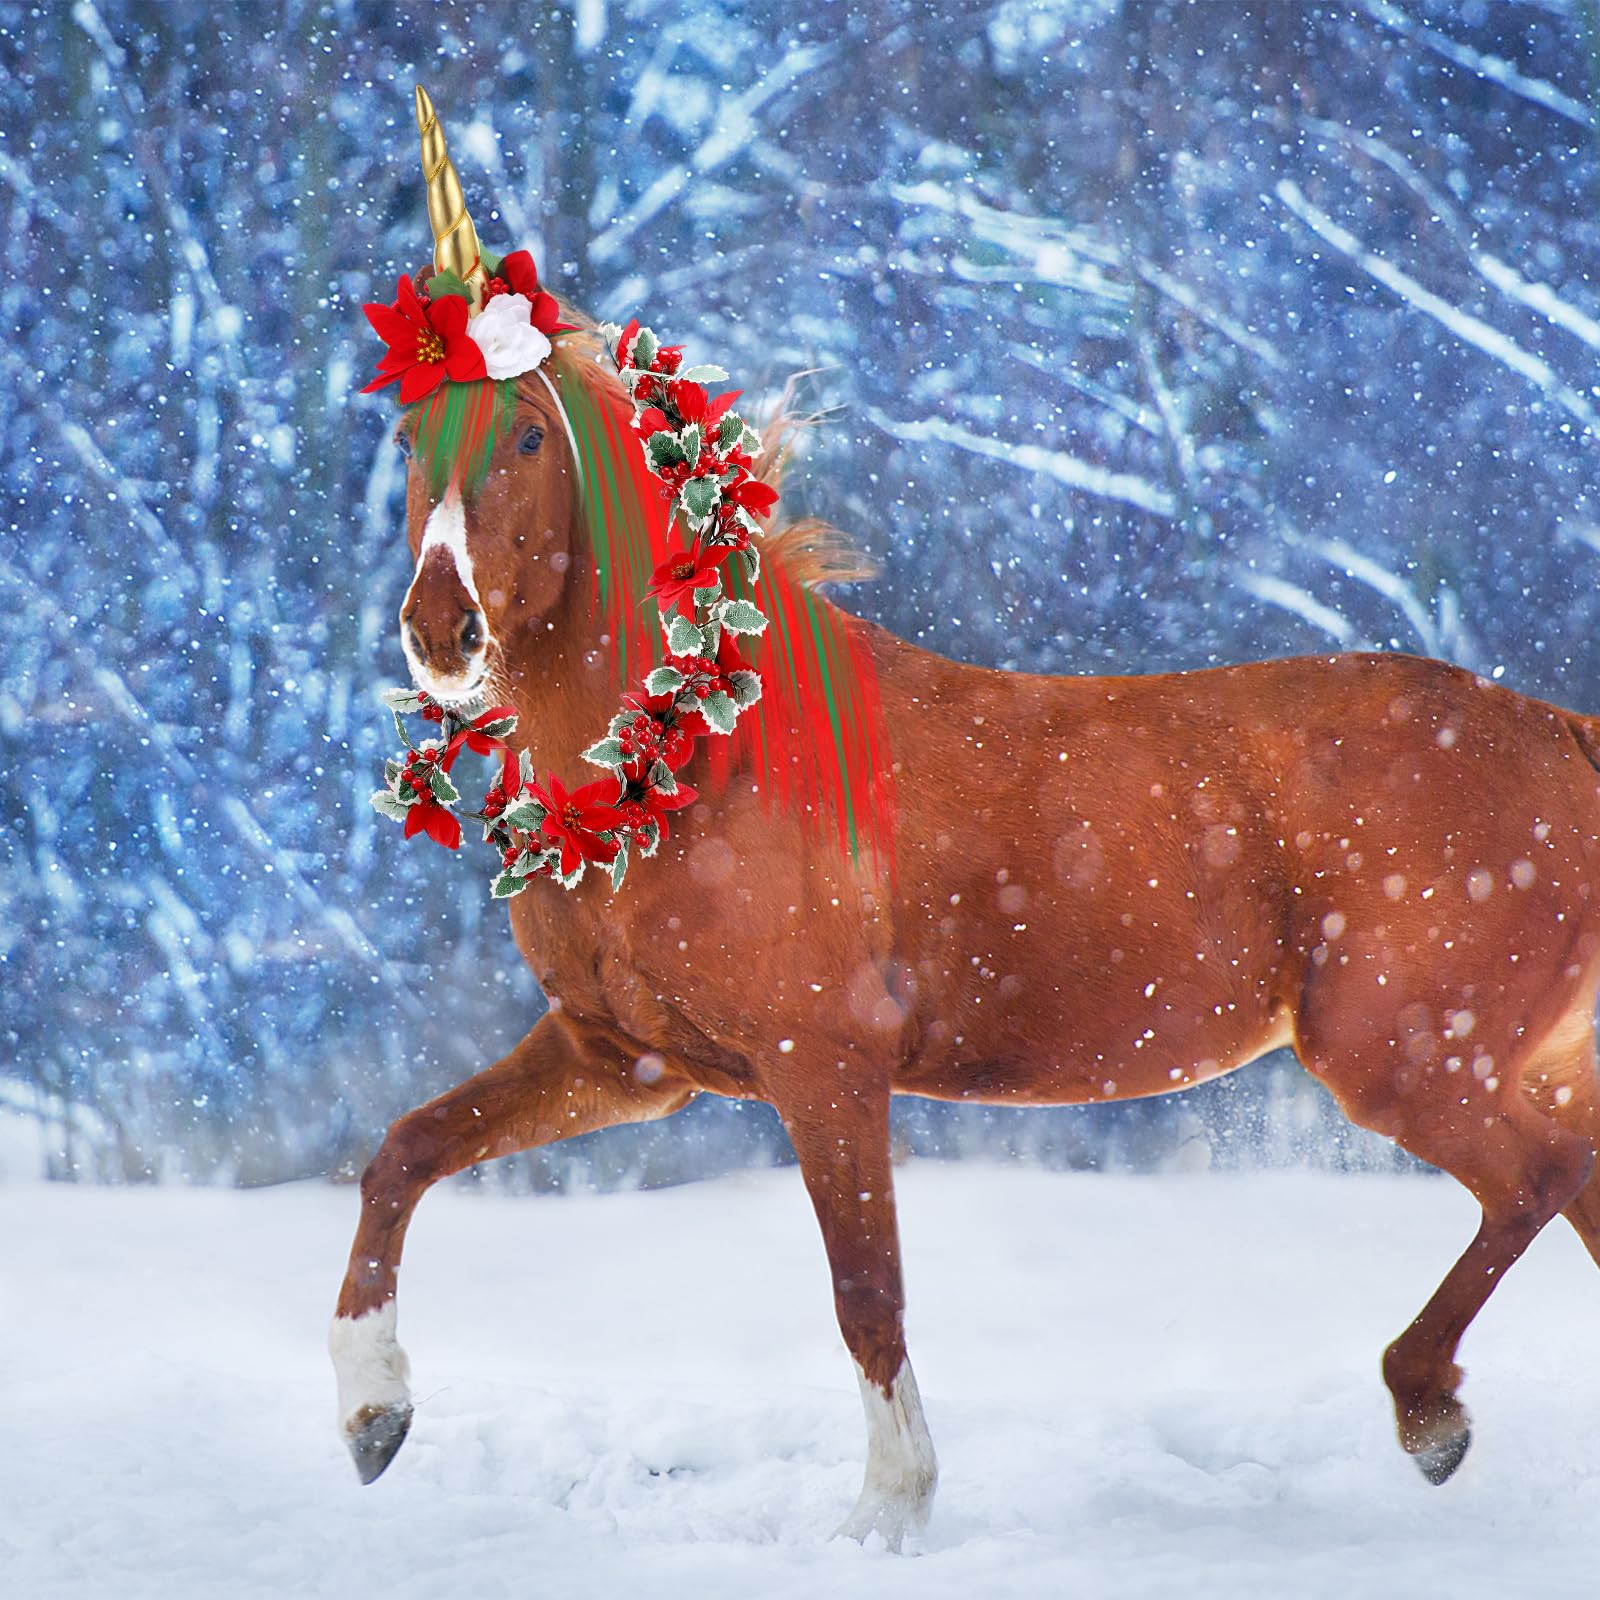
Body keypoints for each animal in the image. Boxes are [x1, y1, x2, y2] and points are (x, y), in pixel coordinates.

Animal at [332, 306, 1600, 1549]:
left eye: (527, 437)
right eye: (405, 435)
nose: (439, 630)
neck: (697, 755)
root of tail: (1559, 732)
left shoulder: (823, 1069)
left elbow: (866, 1292)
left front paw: (887, 1513)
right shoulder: (625, 1062)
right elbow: (404, 1150)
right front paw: (370, 1411)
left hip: (1402, 1060)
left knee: (1536, 1176)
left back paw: (1426, 1407)